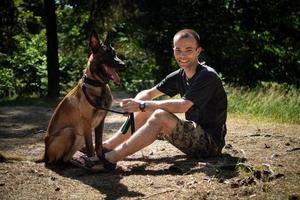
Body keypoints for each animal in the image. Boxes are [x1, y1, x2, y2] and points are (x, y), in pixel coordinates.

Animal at [42, 30, 125, 164]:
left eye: (115, 53)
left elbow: (98, 143)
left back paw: (76, 162)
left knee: (65, 158)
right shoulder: (87, 122)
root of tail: (45, 154)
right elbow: (91, 146)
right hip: (70, 132)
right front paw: (92, 160)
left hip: (79, 137)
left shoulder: (101, 121)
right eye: (107, 54)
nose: (123, 64)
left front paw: (101, 160)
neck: (98, 85)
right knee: (56, 161)